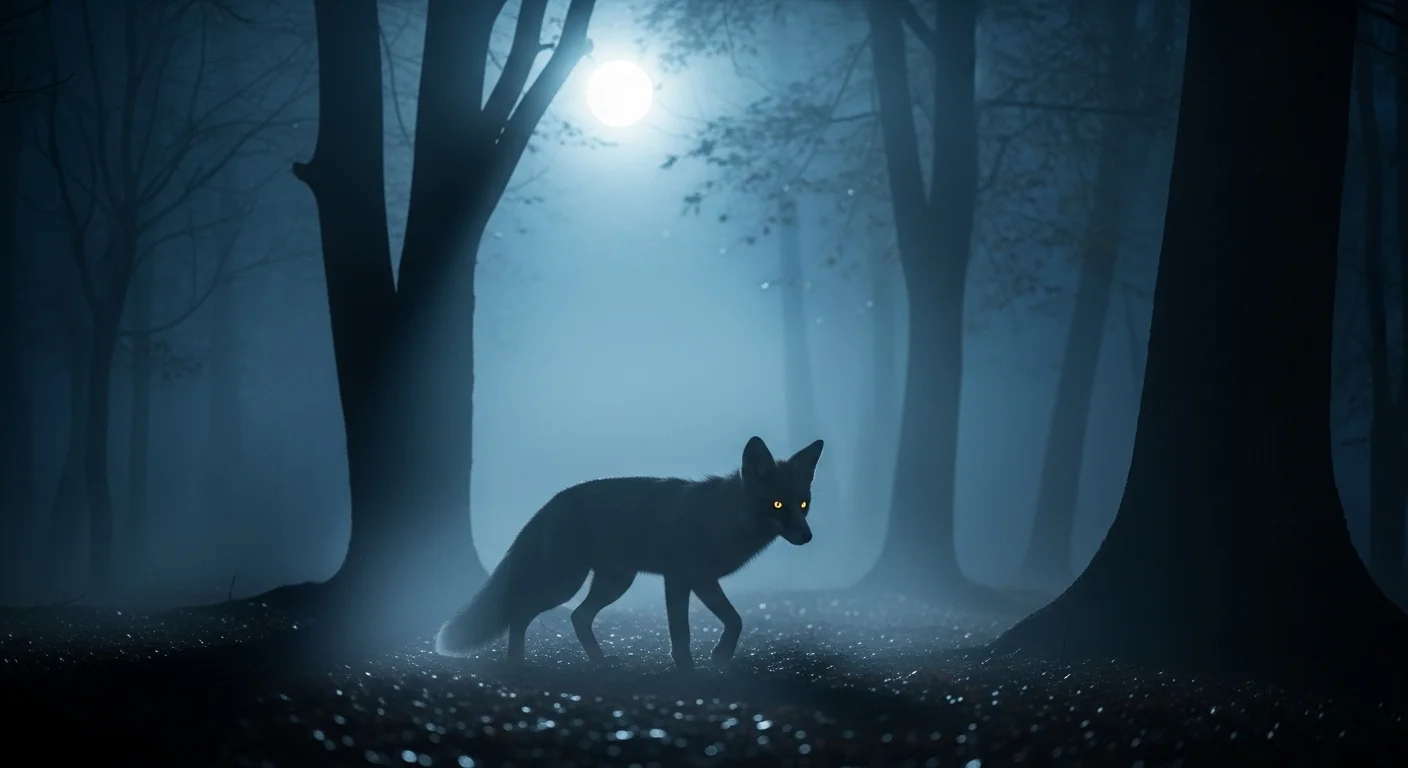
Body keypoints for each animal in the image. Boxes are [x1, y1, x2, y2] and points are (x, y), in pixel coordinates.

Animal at [434, 435, 824, 671]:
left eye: (803, 504)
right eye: (777, 505)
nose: (807, 536)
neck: (725, 519)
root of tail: (553, 500)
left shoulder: (700, 580)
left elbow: (735, 620)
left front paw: (716, 658)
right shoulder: (682, 579)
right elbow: (683, 631)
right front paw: (689, 669)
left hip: (615, 583)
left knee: (578, 617)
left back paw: (600, 663)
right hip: (565, 583)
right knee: (521, 614)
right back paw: (518, 664)